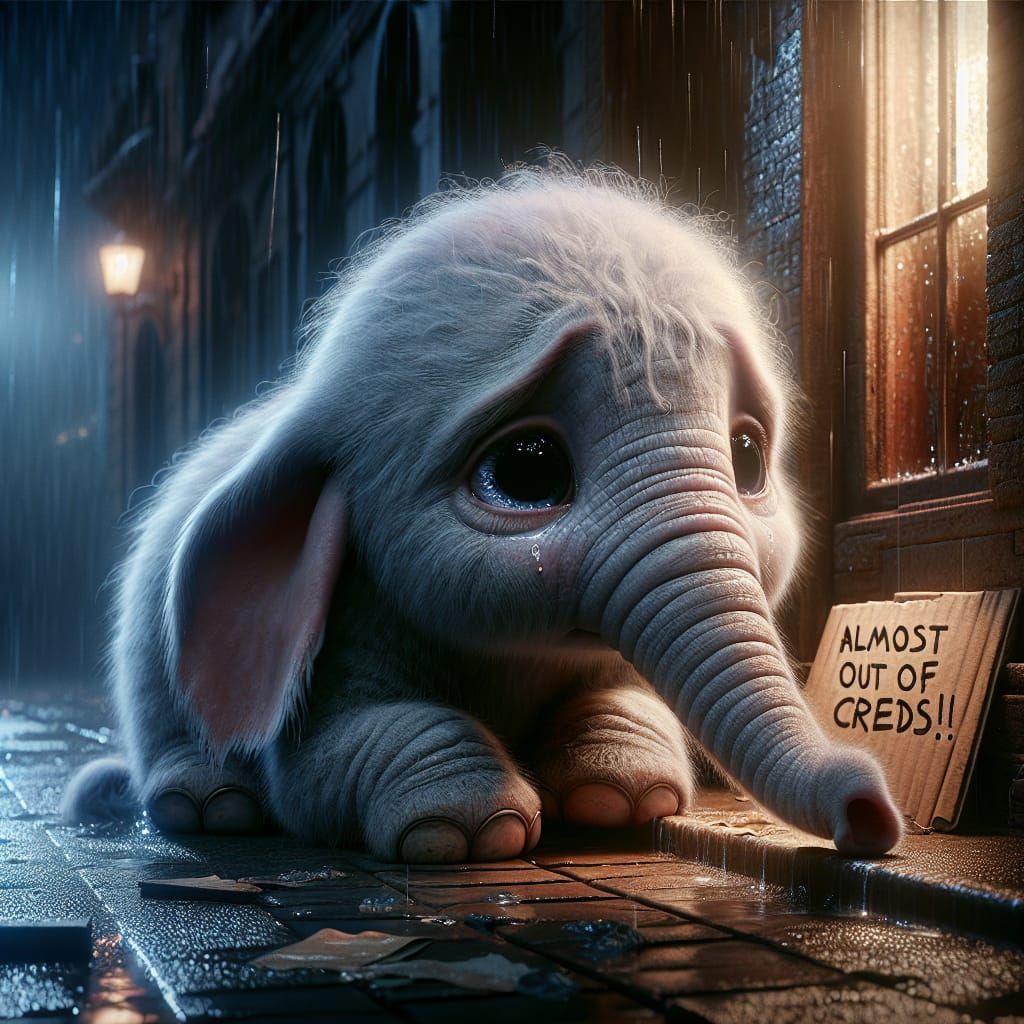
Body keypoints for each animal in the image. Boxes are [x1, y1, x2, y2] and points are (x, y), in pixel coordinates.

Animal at [64, 162, 903, 863]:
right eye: (529, 469)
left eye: (750, 457)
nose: (869, 815)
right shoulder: (347, 621)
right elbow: (316, 769)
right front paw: (471, 828)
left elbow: (627, 700)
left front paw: (617, 792)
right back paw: (208, 804)